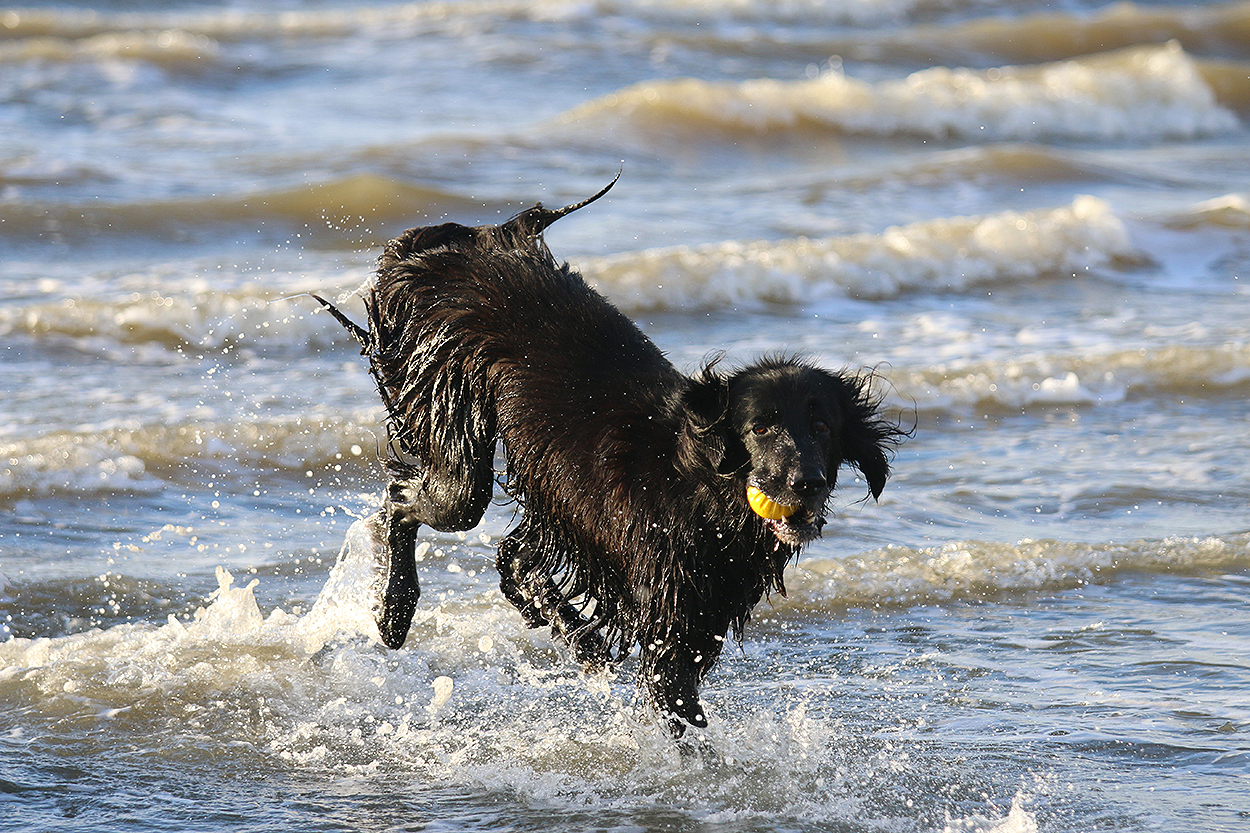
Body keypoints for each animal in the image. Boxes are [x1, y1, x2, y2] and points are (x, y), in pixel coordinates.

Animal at [316, 177, 903, 735]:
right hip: (456, 441)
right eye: (760, 428)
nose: (807, 484)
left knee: (507, 557)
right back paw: (395, 613)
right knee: (403, 500)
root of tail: (449, 251)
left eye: (823, 426)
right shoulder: (667, 626)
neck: (699, 489)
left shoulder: (694, 617)